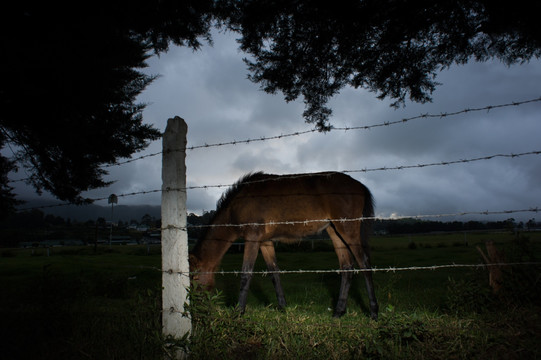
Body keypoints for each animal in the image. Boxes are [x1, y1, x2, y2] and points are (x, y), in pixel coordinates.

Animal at [190, 172, 380, 320]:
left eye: (195, 278)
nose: (197, 309)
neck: (236, 206)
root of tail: (359, 186)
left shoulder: (252, 238)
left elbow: (246, 274)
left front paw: (239, 311)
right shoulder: (265, 242)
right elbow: (274, 273)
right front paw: (282, 307)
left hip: (347, 229)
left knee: (364, 264)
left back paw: (373, 312)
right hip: (334, 231)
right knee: (347, 267)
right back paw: (339, 312)